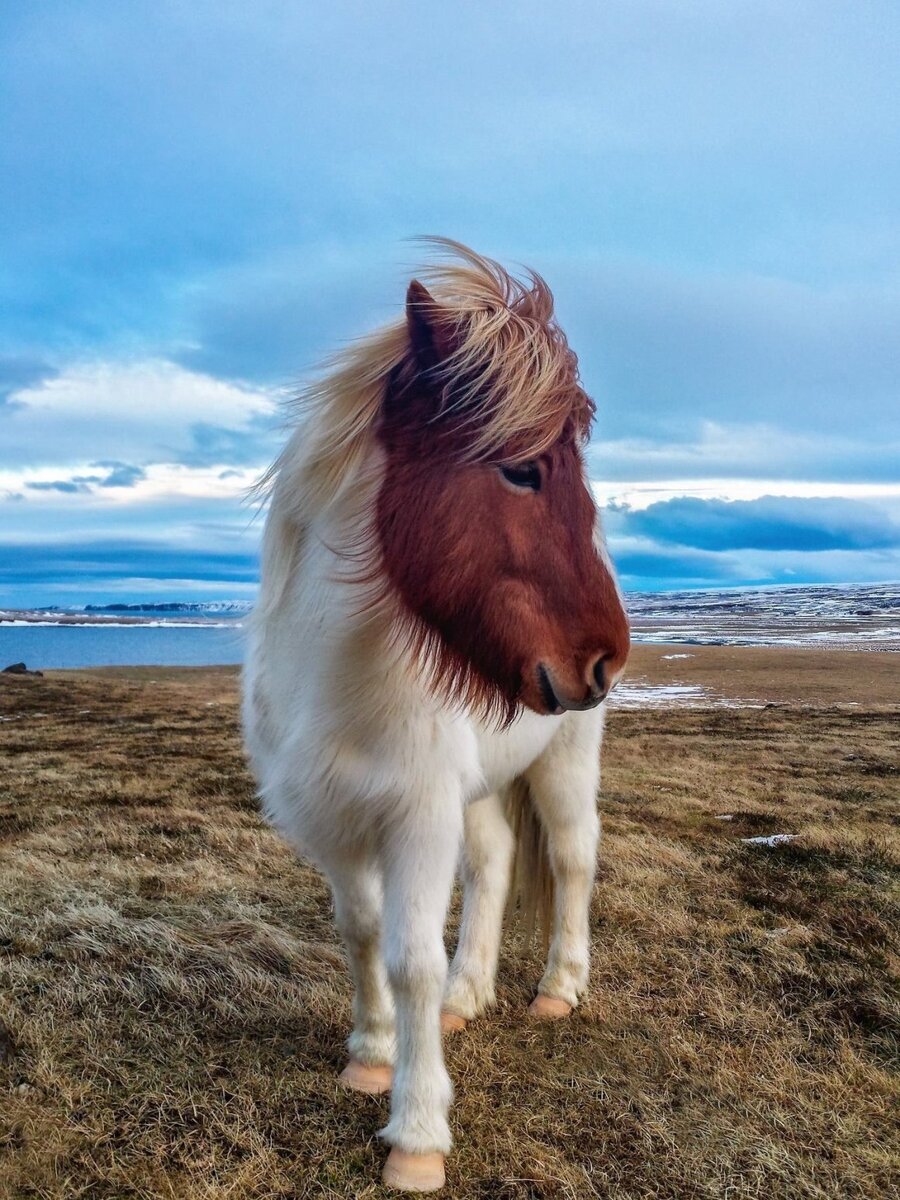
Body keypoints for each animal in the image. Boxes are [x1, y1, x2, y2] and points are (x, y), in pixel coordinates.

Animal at [243, 236, 628, 1190]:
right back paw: (467, 997)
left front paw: (417, 1134)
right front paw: (371, 1055)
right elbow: (361, 935)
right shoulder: (338, 825)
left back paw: (557, 991)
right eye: (522, 469)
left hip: (564, 762)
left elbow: (409, 957)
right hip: (482, 786)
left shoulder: (415, 820)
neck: (338, 683)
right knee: (492, 867)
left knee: (572, 859)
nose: (607, 658)